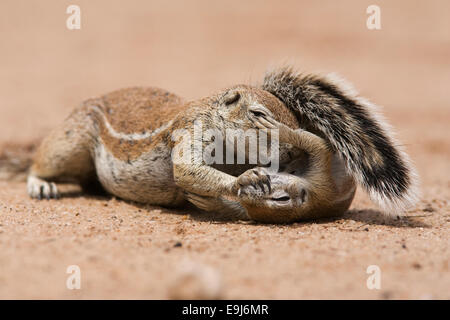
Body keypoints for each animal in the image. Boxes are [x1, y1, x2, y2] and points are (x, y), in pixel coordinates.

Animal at [7, 66, 416, 224]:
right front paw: (245, 182)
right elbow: (189, 170)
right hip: (70, 142)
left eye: (295, 119)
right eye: (259, 114)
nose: (291, 155)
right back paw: (41, 184)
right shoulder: (191, 132)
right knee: (41, 162)